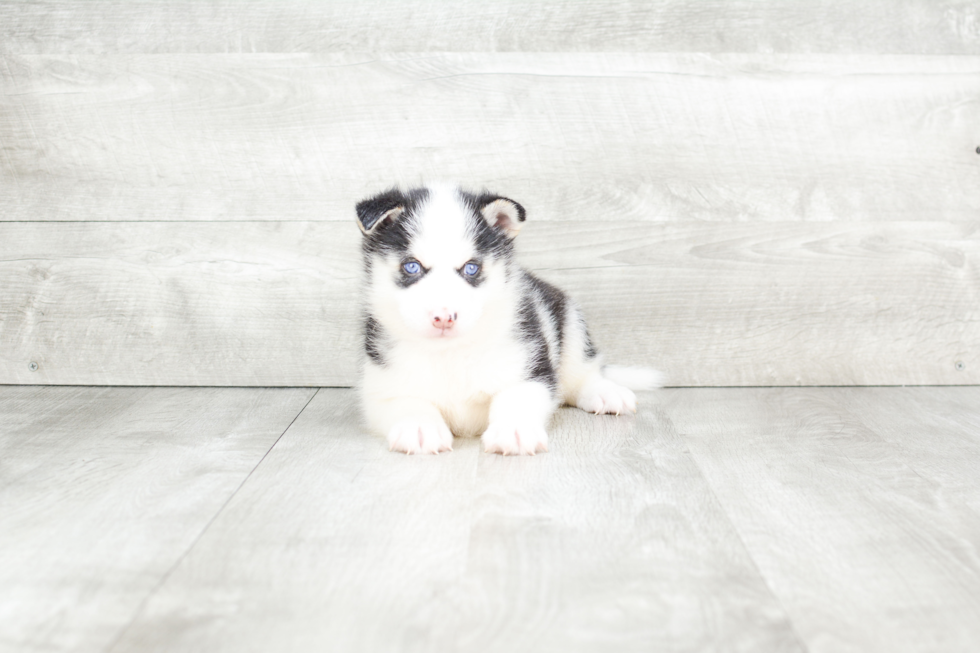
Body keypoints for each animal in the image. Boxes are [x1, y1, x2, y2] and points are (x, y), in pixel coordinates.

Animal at [356, 181, 664, 456]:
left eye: (471, 268)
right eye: (412, 267)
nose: (444, 317)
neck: (450, 354)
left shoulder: (529, 369)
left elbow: (517, 398)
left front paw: (514, 430)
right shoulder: (381, 387)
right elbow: (408, 402)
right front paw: (419, 427)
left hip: (568, 321)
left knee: (583, 373)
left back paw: (605, 392)